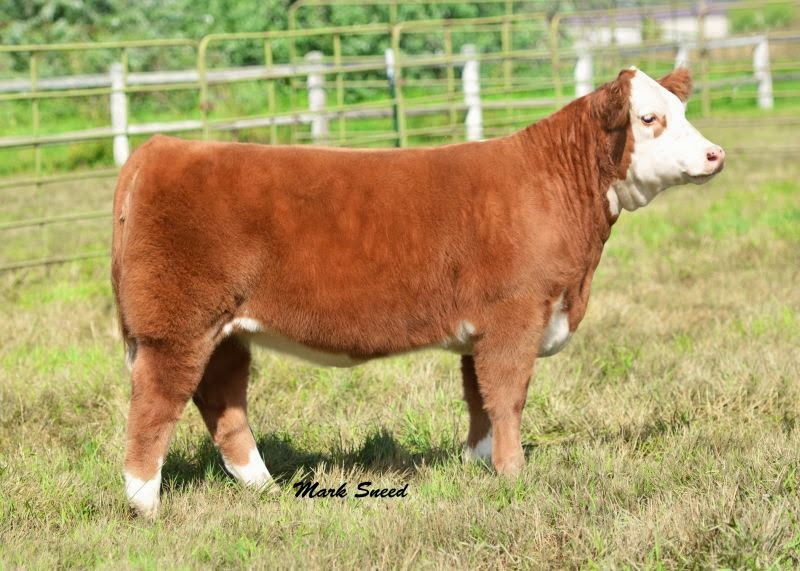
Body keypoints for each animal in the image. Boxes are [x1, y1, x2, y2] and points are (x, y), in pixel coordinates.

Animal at [111, 66, 724, 517]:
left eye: (683, 112)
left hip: (226, 333)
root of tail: (158, 149)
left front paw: (478, 465)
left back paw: (264, 488)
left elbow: (479, 398)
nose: (715, 154)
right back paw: (145, 505)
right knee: (154, 406)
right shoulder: (515, 315)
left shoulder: (482, 327)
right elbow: (508, 396)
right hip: (175, 327)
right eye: (649, 118)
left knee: (223, 402)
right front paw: (514, 476)